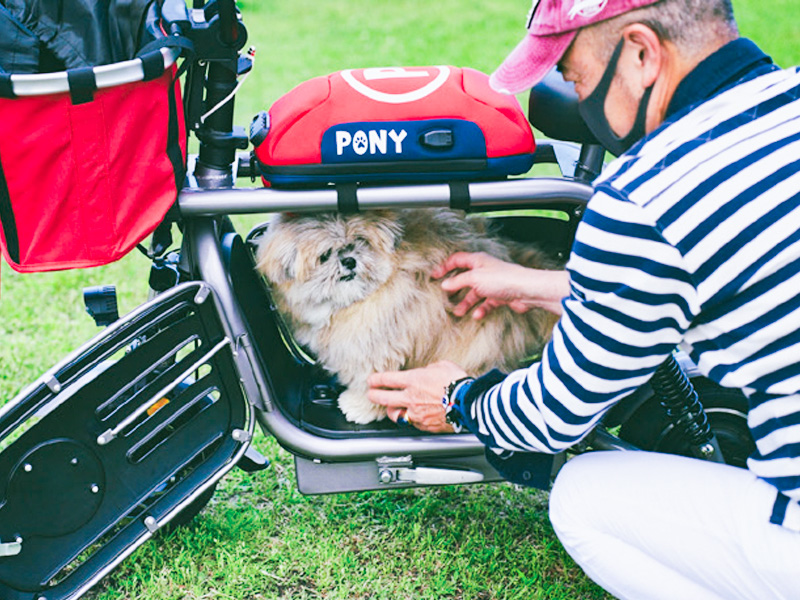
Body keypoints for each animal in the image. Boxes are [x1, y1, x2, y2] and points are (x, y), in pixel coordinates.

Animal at [256, 209, 556, 424]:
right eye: (325, 255)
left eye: (360, 242)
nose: (349, 261)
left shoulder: (376, 345)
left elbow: (370, 381)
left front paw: (359, 407)